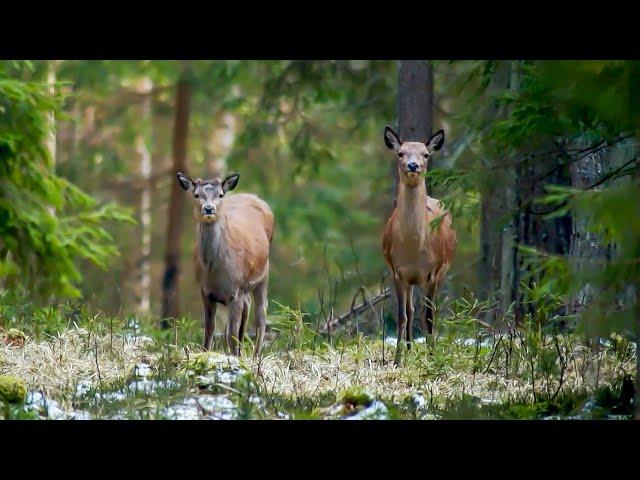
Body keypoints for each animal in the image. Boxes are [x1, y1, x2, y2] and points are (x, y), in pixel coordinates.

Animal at [176, 170, 274, 356]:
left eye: (220, 194)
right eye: (196, 195)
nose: (208, 208)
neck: (215, 272)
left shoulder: (236, 289)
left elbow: (231, 334)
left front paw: (235, 357)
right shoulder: (205, 291)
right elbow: (209, 330)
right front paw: (207, 353)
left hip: (263, 275)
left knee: (261, 315)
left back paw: (256, 356)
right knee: (248, 310)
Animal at [382, 125, 458, 366]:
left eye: (425, 154)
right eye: (400, 153)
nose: (413, 165)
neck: (413, 249)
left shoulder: (433, 272)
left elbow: (429, 317)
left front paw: (432, 358)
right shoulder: (396, 271)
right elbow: (402, 316)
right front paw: (398, 360)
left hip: (443, 271)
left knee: (431, 311)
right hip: (409, 280)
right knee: (411, 310)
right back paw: (407, 349)